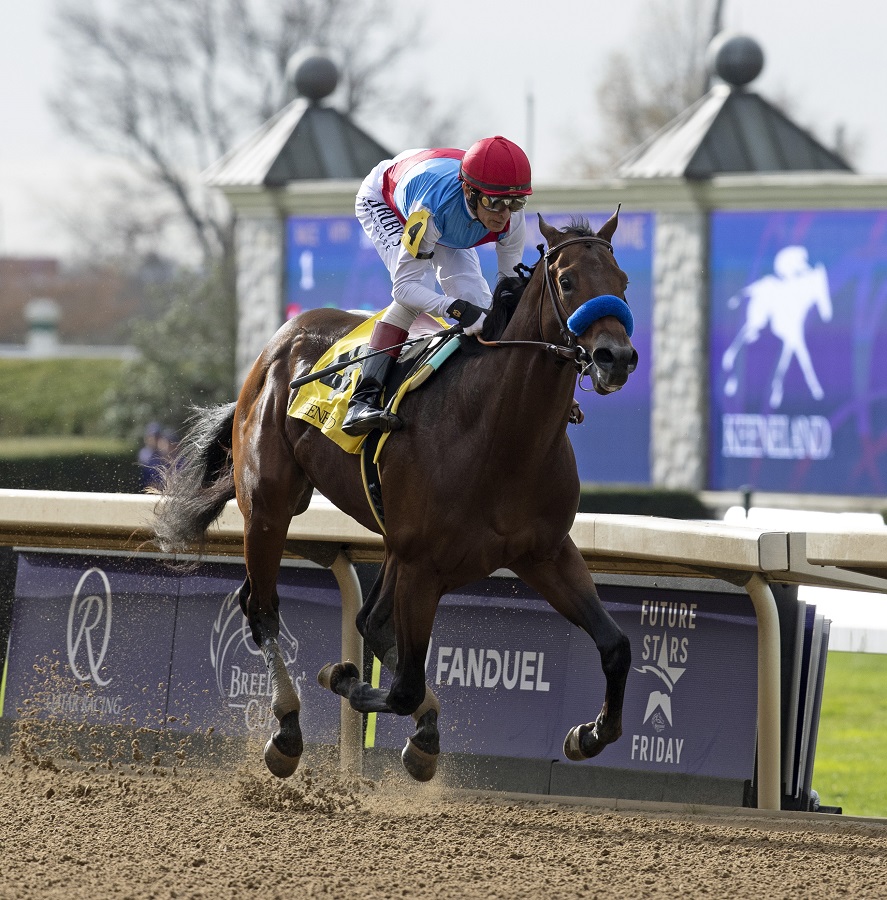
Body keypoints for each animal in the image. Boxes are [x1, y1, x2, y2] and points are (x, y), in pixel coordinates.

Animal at [151, 211, 640, 780]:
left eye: (623, 283)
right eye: (566, 281)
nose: (616, 358)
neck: (500, 432)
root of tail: (280, 341)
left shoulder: (545, 552)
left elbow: (616, 645)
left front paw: (591, 734)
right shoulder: (422, 563)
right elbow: (401, 684)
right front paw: (343, 677)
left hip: (382, 539)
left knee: (359, 620)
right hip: (271, 508)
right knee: (263, 607)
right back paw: (289, 729)